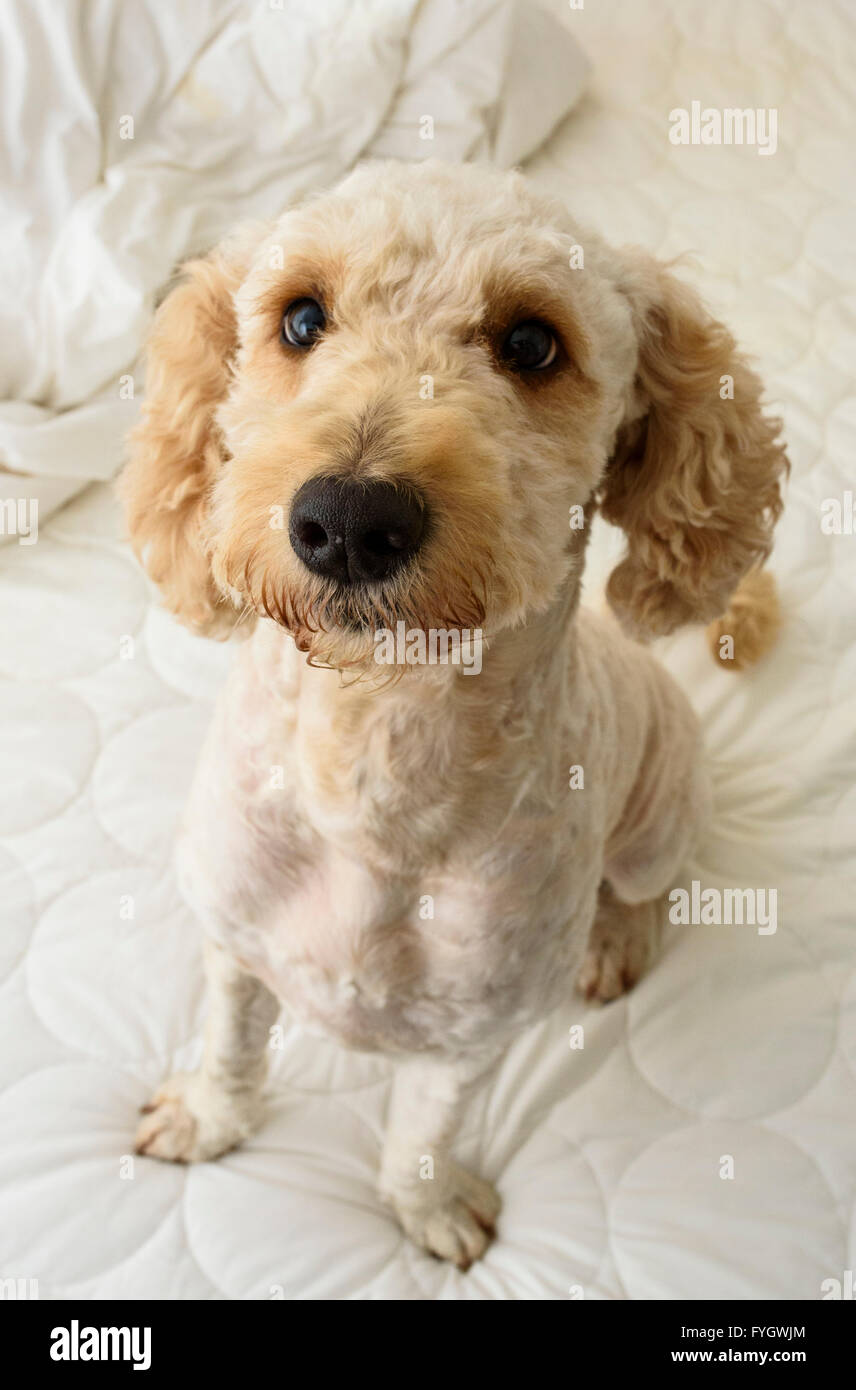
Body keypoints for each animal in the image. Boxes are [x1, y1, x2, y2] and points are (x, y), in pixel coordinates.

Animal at [120, 157, 789, 1267]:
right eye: (300, 318)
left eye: (531, 343)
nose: (348, 520)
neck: (373, 758)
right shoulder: (234, 945)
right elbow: (229, 1052)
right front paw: (210, 1121)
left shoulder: (470, 1032)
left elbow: (423, 1134)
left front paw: (426, 1208)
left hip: (660, 819)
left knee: (644, 890)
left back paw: (613, 940)